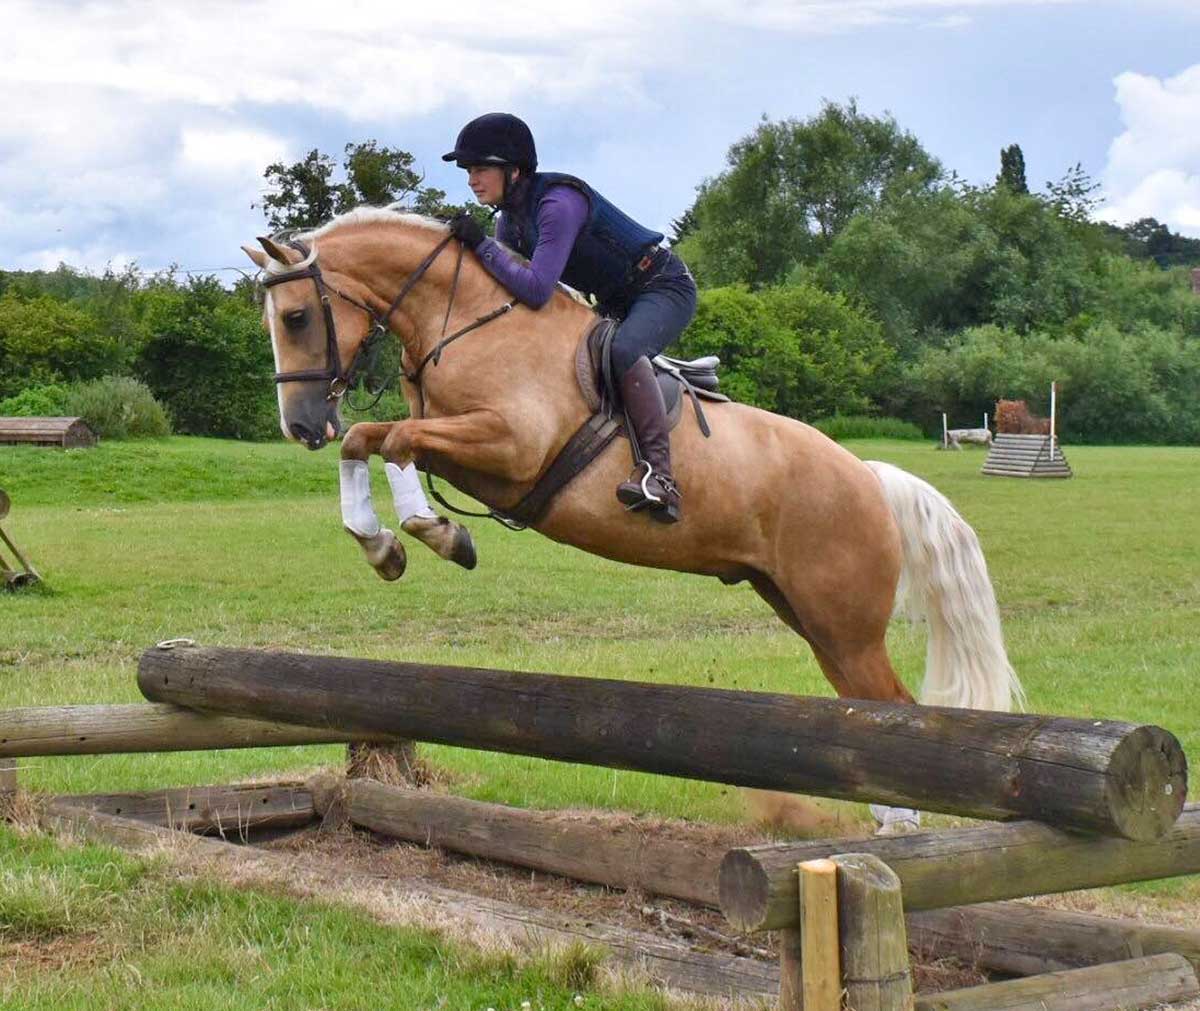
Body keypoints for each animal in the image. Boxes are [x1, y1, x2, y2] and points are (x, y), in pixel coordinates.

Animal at [241, 208, 1022, 821]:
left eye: (298, 316)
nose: (299, 424)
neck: (463, 319)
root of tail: (869, 475)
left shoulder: (511, 448)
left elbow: (397, 440)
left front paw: (436, 533)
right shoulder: (469, 451)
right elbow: (370, 440)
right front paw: (387, 544)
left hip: (844, 623)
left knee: (894, 710)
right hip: (808, 615)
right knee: (871, 712)